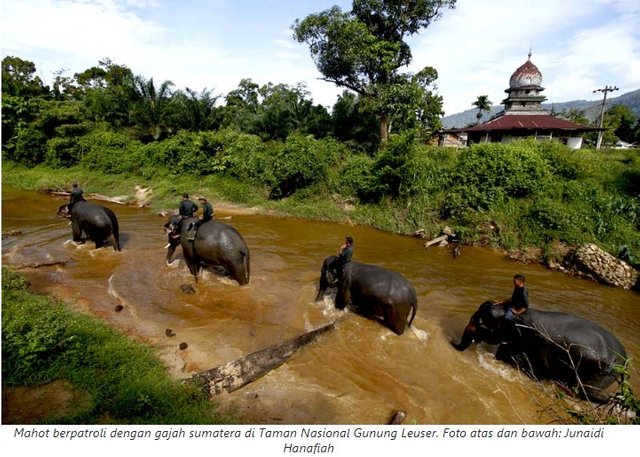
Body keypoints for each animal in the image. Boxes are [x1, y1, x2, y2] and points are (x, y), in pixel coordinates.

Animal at [452, 302, 628, 400]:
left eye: (479, 323)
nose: (452, 341)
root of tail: (625, 359)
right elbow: (504, 355)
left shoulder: (540, 344)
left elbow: (537, 371)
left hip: (600, 373)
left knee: (585, 391)